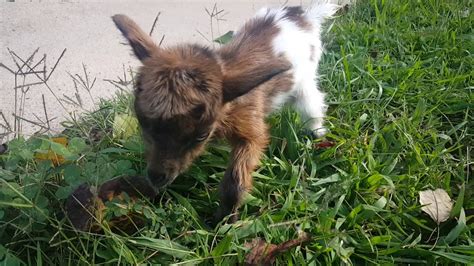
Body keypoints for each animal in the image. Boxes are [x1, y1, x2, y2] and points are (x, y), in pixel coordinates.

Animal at [113, 2, 338, 222]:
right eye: (143, 124)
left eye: (200, 136)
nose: (157, 177)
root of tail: (304, 15)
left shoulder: (250, 129)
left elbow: (236, 178)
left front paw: (225, 219)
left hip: (304, 84)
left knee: (312, 105)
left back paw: (316, 133)